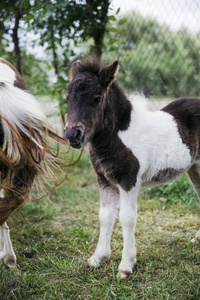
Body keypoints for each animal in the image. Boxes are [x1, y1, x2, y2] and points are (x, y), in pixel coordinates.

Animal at [64, 57, 200, 278]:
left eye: (97, 98)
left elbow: (127, 218)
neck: (121, 135)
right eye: (68, 98)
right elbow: (105, 216)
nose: (72, 135)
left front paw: (126, 266)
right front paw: (98, 258)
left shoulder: (129, 180)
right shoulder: (104, 180)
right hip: (194, 168)